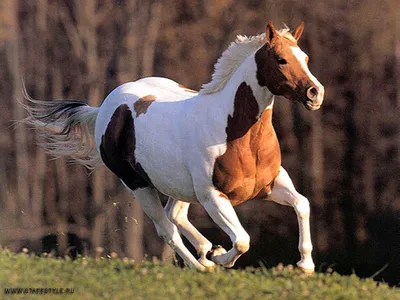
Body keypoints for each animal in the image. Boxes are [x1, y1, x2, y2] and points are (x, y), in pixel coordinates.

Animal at [21, 21, 324, 274]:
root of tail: (106, 108)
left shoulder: (272, 183)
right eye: (281, 59)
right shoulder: (212, 196)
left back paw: (205, 250)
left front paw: (305, 266)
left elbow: (302, 204)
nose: (315, 93)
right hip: (139, 185)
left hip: (179, 186)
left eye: (306, 58)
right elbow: (242, 240)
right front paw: (220, 258)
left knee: (174, 215)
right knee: (166, 228)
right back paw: (202, 265)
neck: (235, 134)